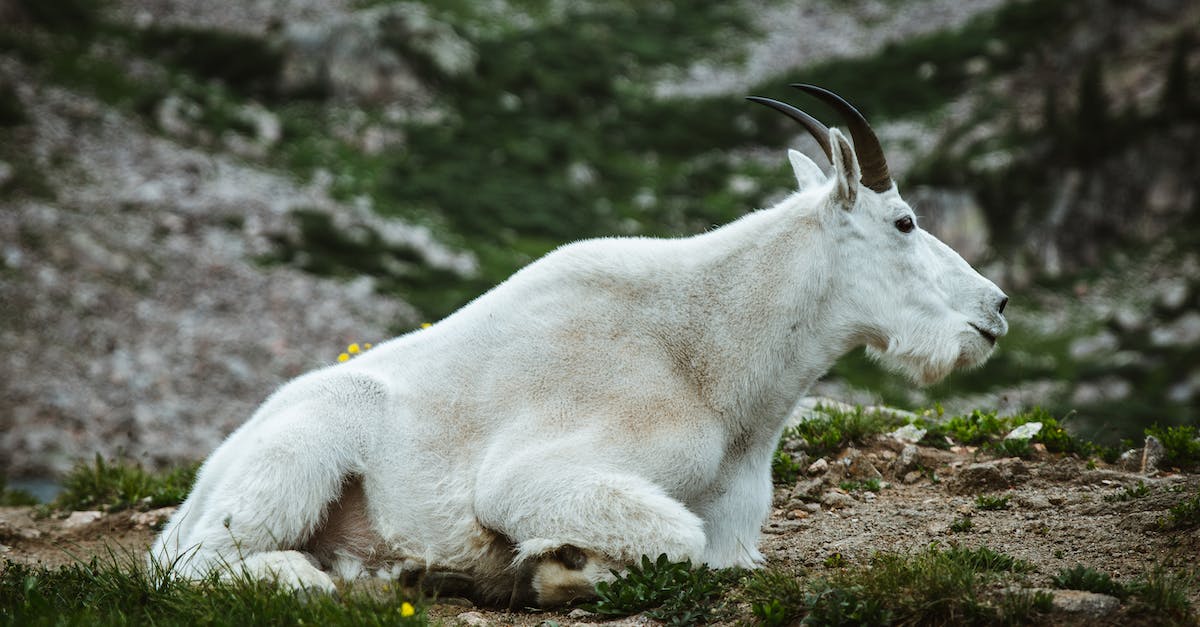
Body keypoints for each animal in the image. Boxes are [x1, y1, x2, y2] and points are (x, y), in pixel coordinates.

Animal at [149, 85, 1009, 607]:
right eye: (904, 221)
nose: (996, 309)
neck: (711, 359)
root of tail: (200, 481)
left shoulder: (737, 529)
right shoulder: (532, 478)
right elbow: (674, 536)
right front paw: (562, 565)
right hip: (303, 450)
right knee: (201, 565)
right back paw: (310, 574)